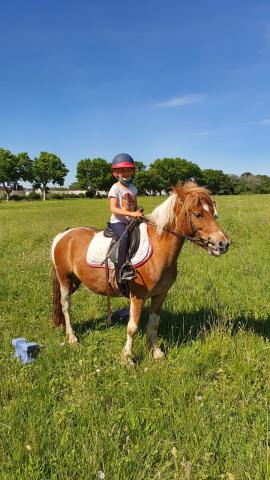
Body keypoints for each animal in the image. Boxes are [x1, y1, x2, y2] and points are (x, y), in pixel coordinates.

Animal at [51, 183, 230, 364]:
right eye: (198, 214)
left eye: (214, 213)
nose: (223, 244)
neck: (158, 248)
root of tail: (63, 235)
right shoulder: (138, 296)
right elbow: (132, 327)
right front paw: (127, 358)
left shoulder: (160, 294)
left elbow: (154, 323)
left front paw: (156, 352)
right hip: (64, 278)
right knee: (65, 305)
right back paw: (72, 338)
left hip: (75, 281)